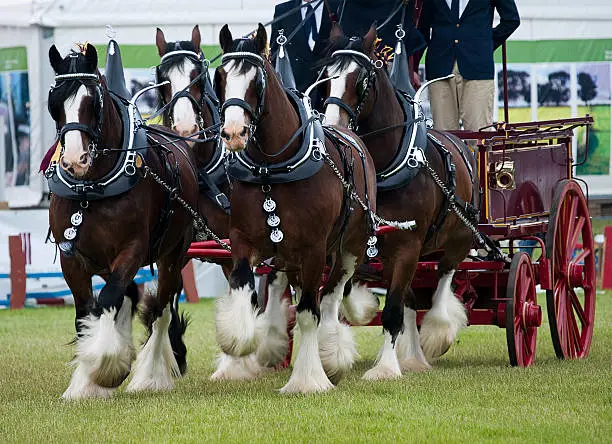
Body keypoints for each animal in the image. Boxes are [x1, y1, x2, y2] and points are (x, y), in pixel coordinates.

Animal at [215, 24, 378, 392]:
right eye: (220, 77)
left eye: (257, 81)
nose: (233, 133)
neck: (271, 171)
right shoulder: (243, 239)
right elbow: (243, 283)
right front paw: (239, 340)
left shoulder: (314, 248)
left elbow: (308, 313)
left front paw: (308, 379)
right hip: (289, 256)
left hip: (350, 247)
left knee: (330, 297)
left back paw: (332, 353)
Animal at [322, 24, 476, 378]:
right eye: (327, 76)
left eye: (362, 80)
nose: (333, 126)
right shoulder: (357, 242)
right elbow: (345, 291)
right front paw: (357, 317)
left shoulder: (408, 245)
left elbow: (393, 311)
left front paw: (384, 369)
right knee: (410, 297)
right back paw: (414, 356)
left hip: (458, 238)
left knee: (443, 277)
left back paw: (437, 332)